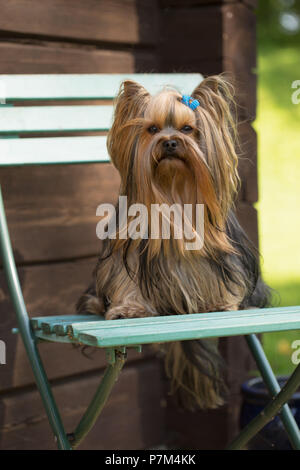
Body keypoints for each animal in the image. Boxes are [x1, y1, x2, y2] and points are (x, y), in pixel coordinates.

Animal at [77, 75, 270, 410]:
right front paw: (129, 309)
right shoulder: (126, 252)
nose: (169, 142)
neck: (174, 188)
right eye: (152, 129)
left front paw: (219, 303)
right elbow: (127, 279)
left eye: (188, 129)